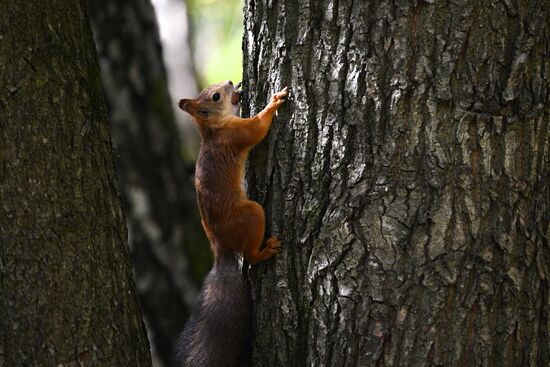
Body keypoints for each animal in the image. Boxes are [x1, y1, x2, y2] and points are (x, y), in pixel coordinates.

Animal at [176, 81, 288, 367]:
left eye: (213, 89)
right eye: (216, 96)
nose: (229, 83)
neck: (215, 129)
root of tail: (221, 247)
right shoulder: (238, 134)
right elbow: (257, 129)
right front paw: (274, 102)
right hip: (252, 214)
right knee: (249, 255)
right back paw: (266, 250)